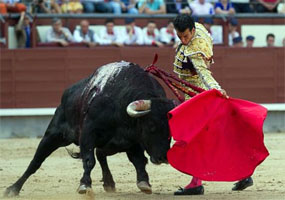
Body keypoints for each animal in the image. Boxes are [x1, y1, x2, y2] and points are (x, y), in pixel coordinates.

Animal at [4, 61, 174, 197]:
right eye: (151, 126)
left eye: (171, 130)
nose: (163, 158)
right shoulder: (88, 134)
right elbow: (88, 160)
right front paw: (85, 185)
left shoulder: (134, 141)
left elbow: (138, 160)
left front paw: (144, 182)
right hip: (53, 135)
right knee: (36, 161)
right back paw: (13, 189)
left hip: (110, 145)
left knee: (101, 155)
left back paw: (109, 183)